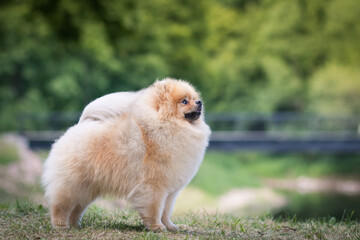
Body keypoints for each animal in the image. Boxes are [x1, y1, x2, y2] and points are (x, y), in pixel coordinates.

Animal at [42, 78, 211, 231]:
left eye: (194, 98)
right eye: (184, 101)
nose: (200, 102)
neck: (167, 125)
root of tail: (78, 125)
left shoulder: (170, 191)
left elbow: (166, 212)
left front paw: (170, 226)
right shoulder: (154, 187)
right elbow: (155, 210)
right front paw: (156, 227)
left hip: (87, 188)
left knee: (77, 207)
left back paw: (75, 225)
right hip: (72, 184)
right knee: (61, 205)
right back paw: (61, 225)